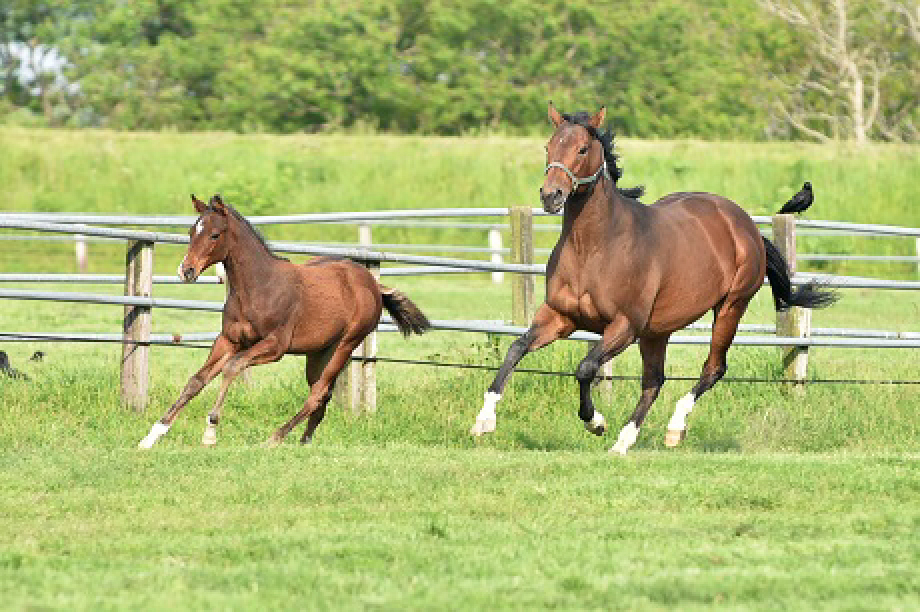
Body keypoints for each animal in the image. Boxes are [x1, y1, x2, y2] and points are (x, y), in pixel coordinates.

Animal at [137, 196, 432, 450]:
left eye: (214, 235)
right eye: (191, 232)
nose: (185, 271)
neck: (259, 287)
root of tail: (372, 284)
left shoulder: (275, 346)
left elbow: (232, 368)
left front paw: (210, 432)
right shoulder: (228, 340)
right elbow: (196, 381)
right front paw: (152, 436)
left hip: (345, 345)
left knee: (317, 394)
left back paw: (275, 437)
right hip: (318, 352)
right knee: (321, 394)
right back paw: (304, 441)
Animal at [470, 101, 836, 454]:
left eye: (583, 149)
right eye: (549, 146)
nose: (551, 196)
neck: (594, 247)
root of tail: (746, 225)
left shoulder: (624, 325)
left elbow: (585, 368)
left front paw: (595, 422)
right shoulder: (561, 316)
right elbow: (516, 348)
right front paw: (483, 422)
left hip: (729, 308)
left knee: (712, 368)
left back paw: (673, 430)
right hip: (657, 331)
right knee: (654, 381)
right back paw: (624, 442)